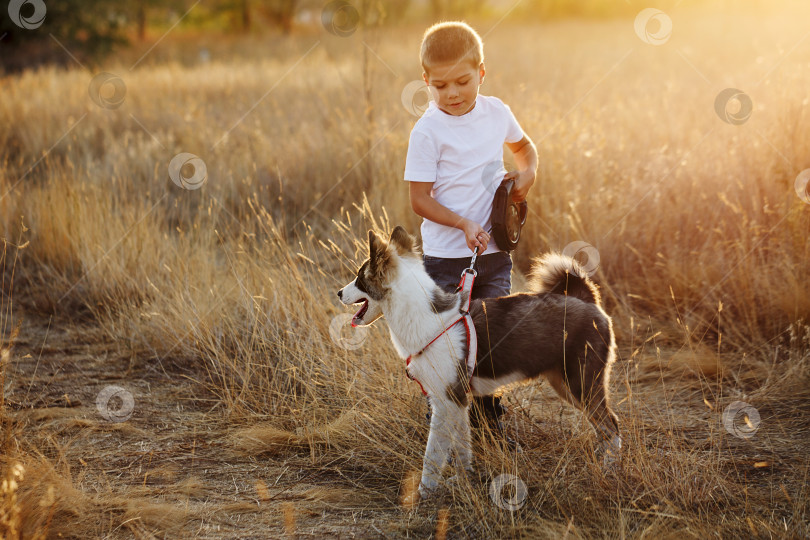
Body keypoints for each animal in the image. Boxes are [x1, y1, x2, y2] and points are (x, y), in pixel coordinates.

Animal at [334, 227, 620, 498]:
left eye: (359, 278)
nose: (338, 293)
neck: (426, 317)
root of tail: (586, 300)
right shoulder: (458, 401)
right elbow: (462, 446)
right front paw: (463, 478)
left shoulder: (446, 401)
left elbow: (432, 454)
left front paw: (425, 490)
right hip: (565, 384)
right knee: (603, 426)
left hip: (581, 384)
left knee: (611, 424)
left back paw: (610, 468)